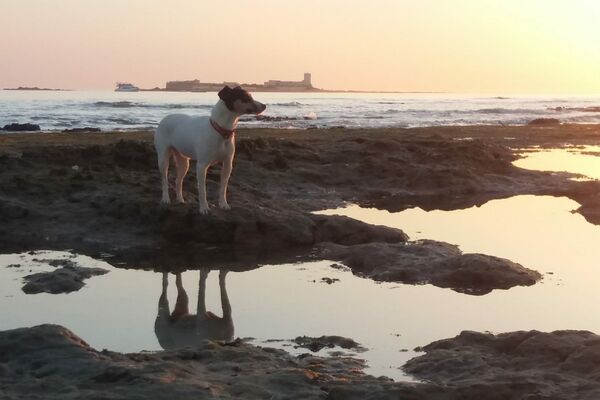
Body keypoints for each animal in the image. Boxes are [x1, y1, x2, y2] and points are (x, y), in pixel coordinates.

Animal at [155, 86, 264, 214]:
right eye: (246, 97)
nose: (264, 106)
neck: (221, 131)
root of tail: (165, 118)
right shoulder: (202, 166)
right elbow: (202, 190)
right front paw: (204, 208)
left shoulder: (228, 164)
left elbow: (223, 188)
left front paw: (223, 204)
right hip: (163, 158)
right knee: (164, 179)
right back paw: (165, 199)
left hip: (183, 161)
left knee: (178, 180)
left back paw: (180, 199)